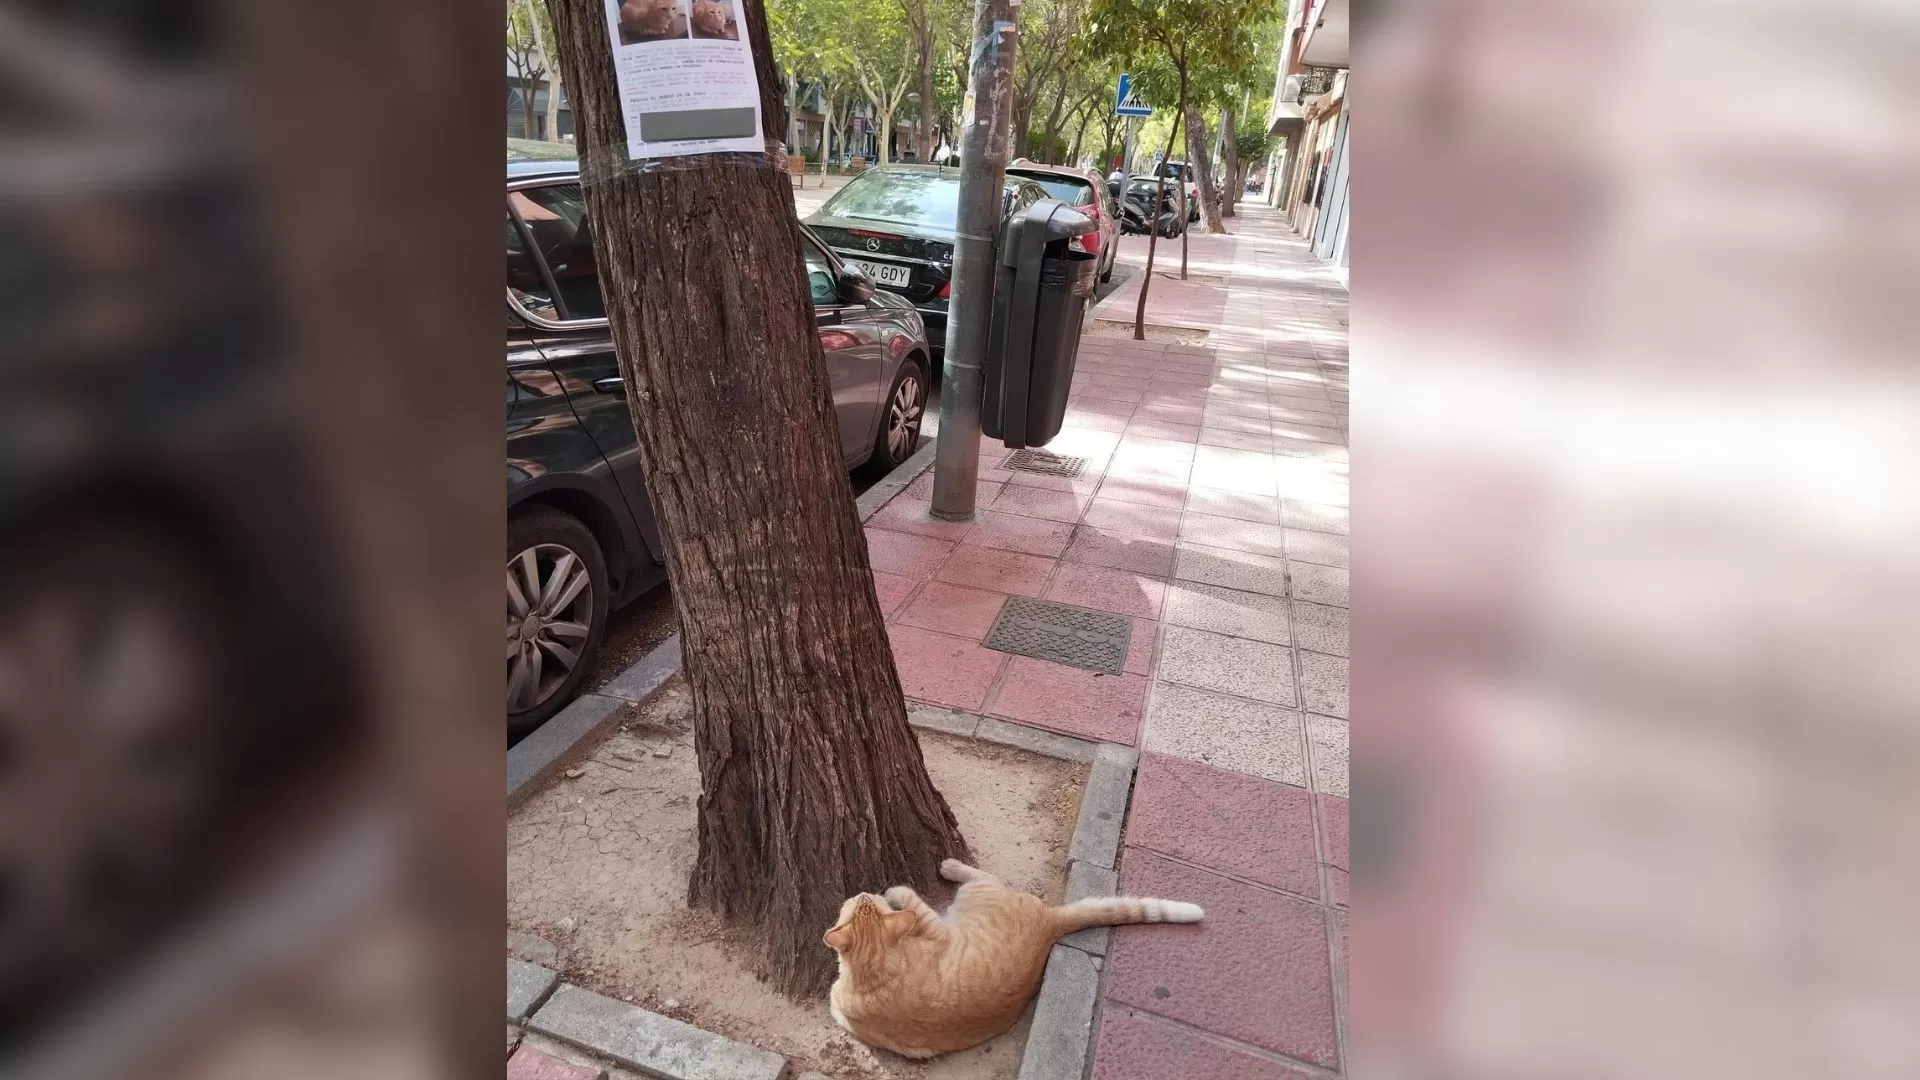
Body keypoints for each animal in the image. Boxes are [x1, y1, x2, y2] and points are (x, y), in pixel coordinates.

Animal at [825, 853, 1198, 1053]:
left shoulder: (933, 925)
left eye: (859, 900)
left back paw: (951, 866)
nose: (861, 890)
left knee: (982, 874)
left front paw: (895, 889)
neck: (873, 972)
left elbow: (911, 900)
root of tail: (1050, 923)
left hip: (979, 890)